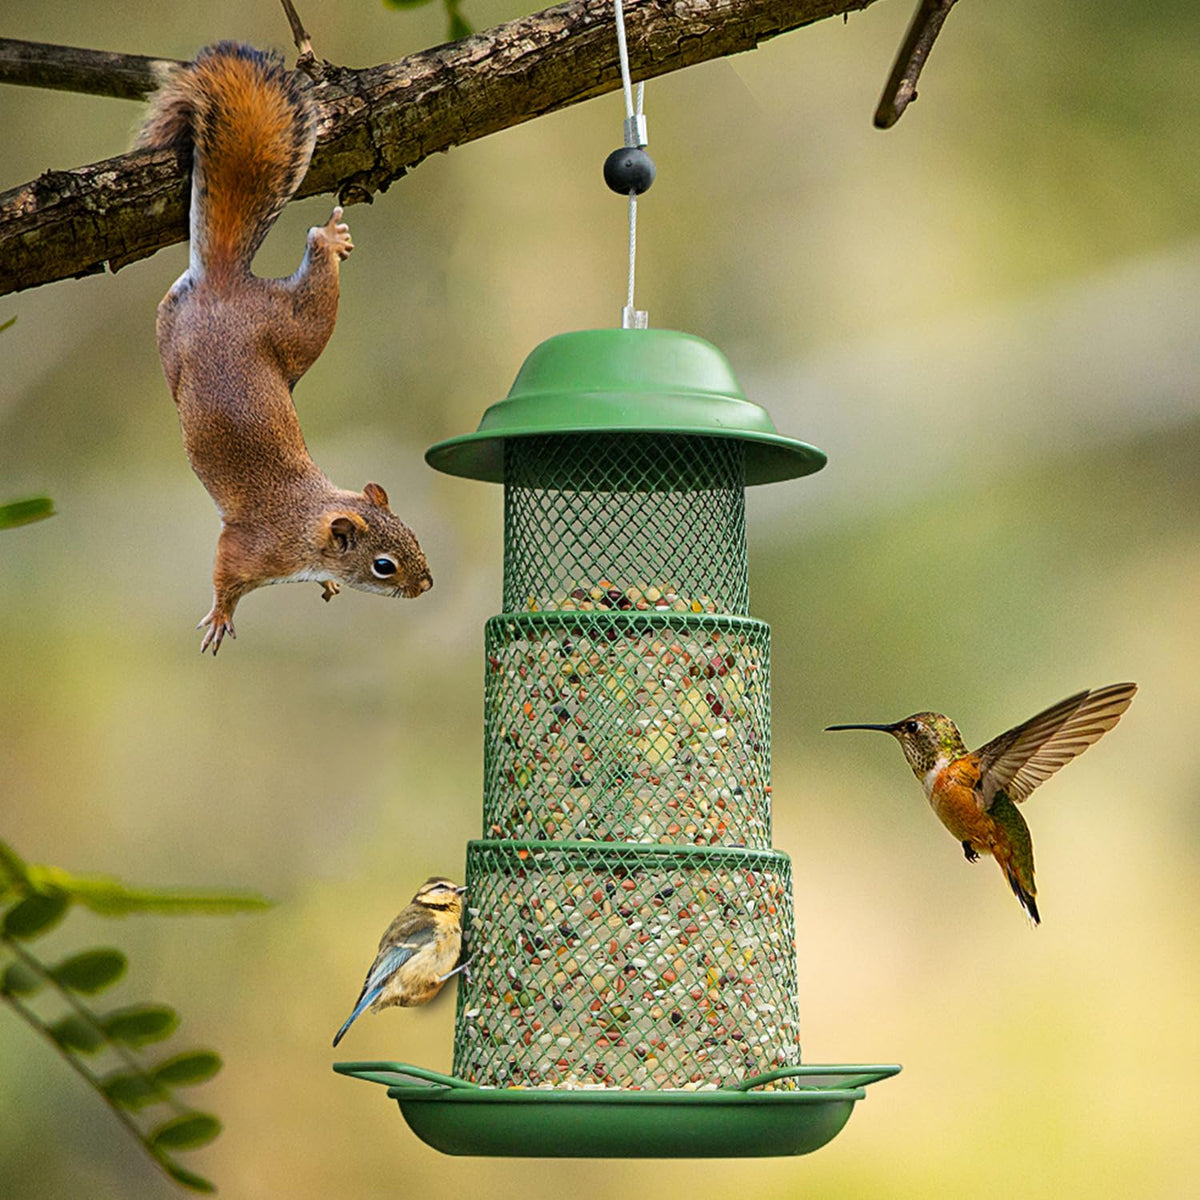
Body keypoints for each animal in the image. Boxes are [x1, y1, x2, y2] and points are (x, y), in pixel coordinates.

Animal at [137, 42, 432, 654]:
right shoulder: (249, 547)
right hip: (280, 330)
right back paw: (328, 238)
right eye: (385, 566)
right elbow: (225, 576)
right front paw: (221, 615)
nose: (427, 584)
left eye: (414, 534)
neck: (309, 524)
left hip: (285, 332)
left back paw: (332, 240)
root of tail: (225, 283)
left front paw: (327, 586)